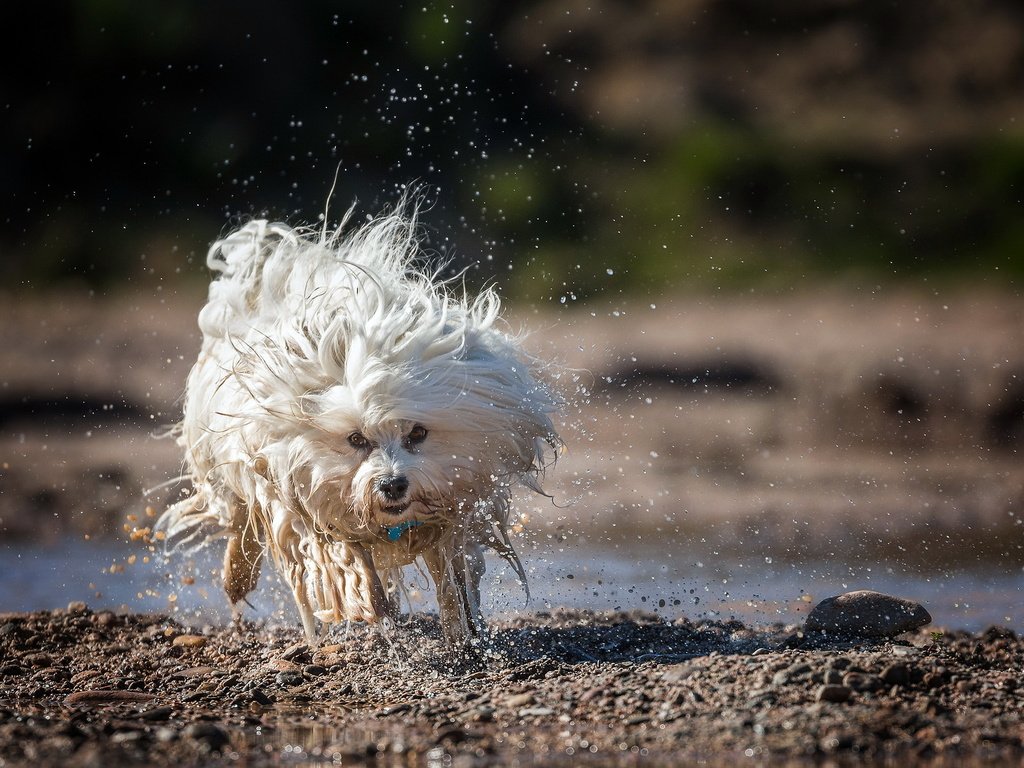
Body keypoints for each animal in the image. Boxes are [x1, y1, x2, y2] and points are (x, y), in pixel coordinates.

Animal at [158, 202, 561, 643]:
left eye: (417, 433)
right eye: (355, 439)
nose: (392, 484)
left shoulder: (459, 500)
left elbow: (452, 573)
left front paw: (462, 629)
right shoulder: (296, 496)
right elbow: (343, 557)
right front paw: (369, 604)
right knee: (239, 522)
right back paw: (237, 579)